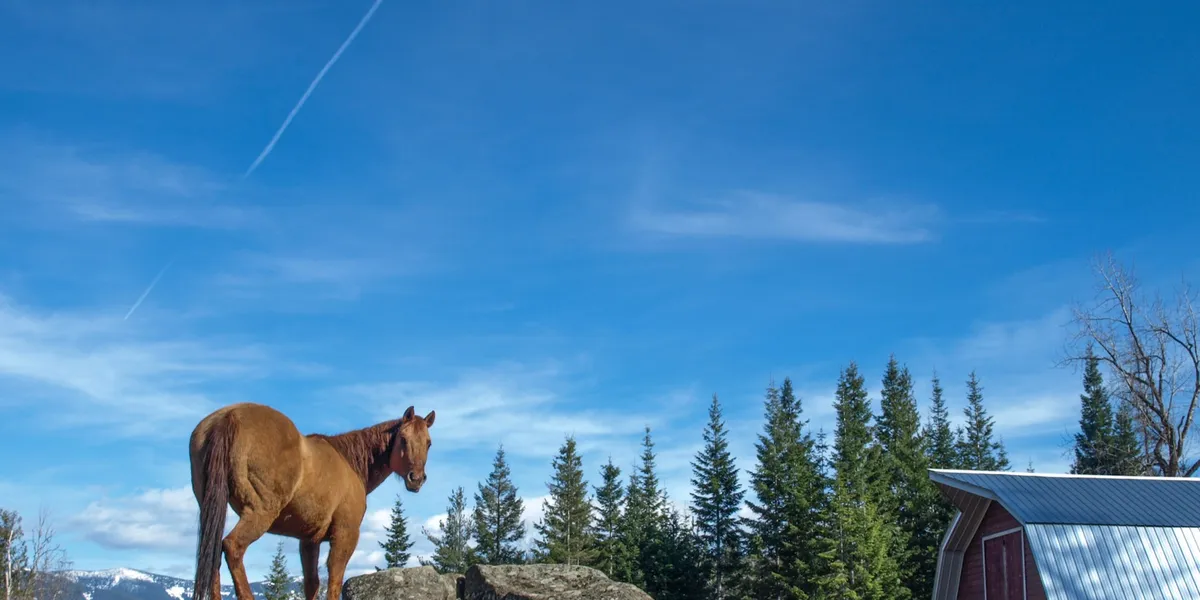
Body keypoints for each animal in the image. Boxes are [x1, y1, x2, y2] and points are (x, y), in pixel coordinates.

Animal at [188, 402, 435, 600]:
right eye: (403, 439)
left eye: (428, 443)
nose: (416, 479)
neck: (349, 461)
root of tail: (231, 416)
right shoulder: (345, 535)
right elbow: (334, 579)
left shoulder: (309, 541)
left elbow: (312, 583)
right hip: (260, 513)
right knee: (232, 547)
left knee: (213, 552)